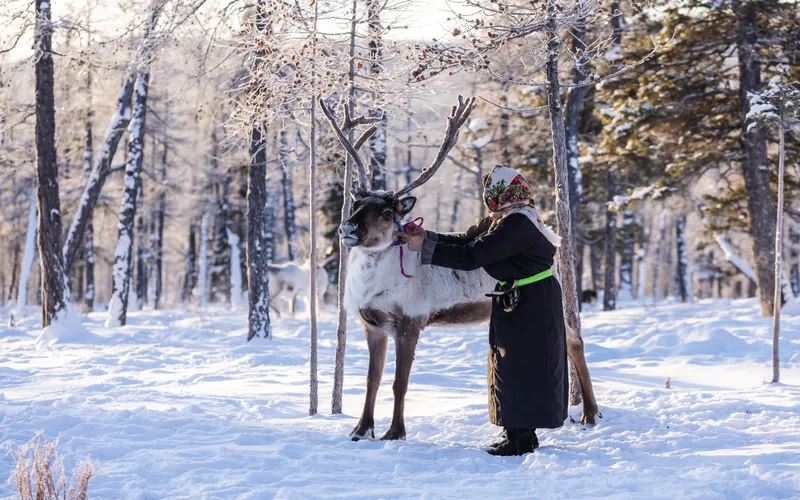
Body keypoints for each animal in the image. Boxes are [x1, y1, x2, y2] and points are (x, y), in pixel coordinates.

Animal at [319, 95, 599, 442]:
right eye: (357, 205)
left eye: (386, 213)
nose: (347, 228)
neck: (375, 286)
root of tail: (552, 235)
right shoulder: (373, 325)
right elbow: (372, 381)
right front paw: (361, 430)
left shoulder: (409, 322)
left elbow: (399, 384)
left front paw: (395, 432)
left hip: (557, 302)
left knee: (575, 342)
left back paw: (590, 413)